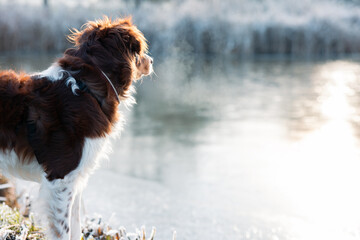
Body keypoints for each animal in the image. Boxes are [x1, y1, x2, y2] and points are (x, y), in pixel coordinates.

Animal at [0, 15, 153, 239]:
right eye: (140, 50)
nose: (151, 61)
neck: (86, 88)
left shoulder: (74, 180)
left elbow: (76, 224)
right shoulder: (60, 179)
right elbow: (63, 230)